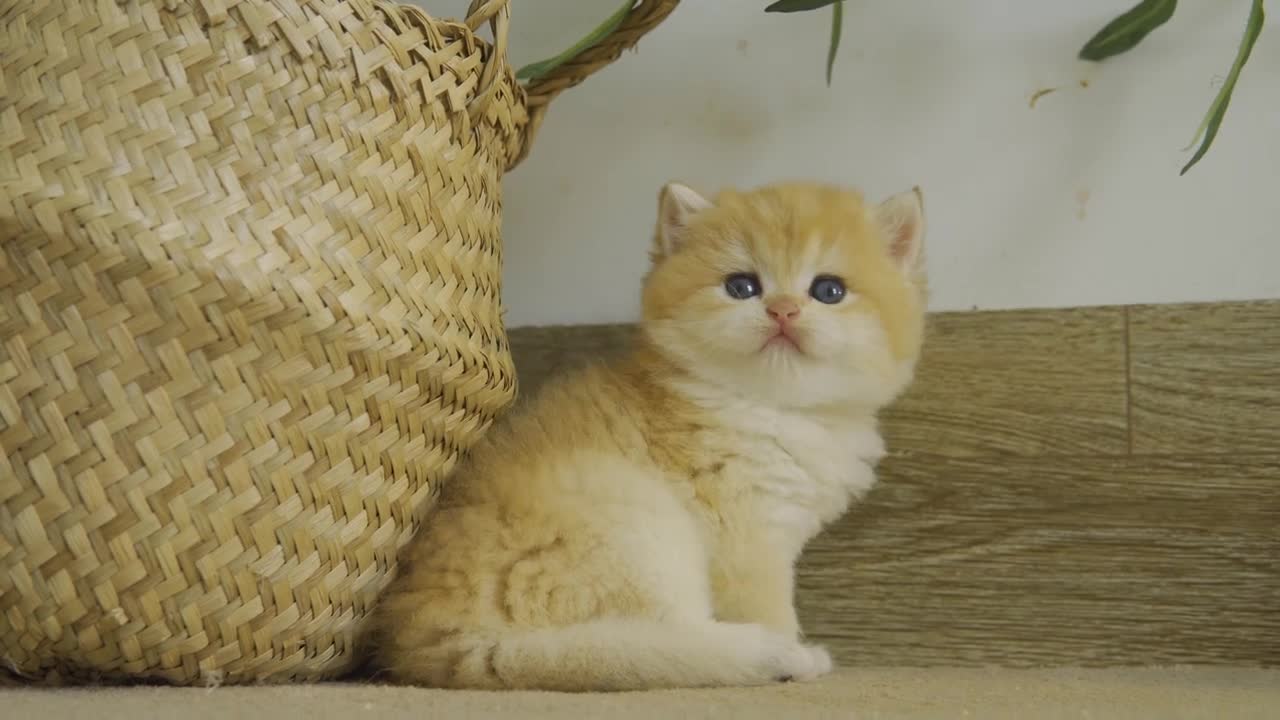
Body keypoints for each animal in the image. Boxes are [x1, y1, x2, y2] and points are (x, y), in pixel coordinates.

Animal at [373, 178, 931, 691]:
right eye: (742, 286)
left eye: (829, 291)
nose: (783, 310)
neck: (768, 406)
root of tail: (440, 640)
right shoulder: (748, 538)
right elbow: (770, 606)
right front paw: (789, 645)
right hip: (642, 526)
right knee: (667, 641)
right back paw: (771, 656)